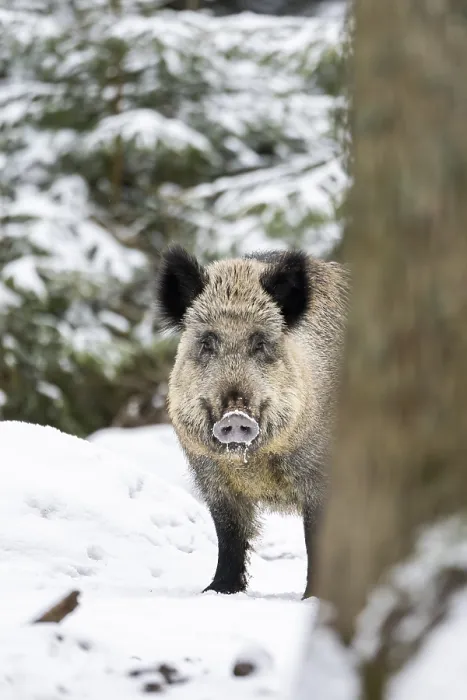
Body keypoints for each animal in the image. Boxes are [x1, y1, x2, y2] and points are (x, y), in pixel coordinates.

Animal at [156, 245, 348, 598]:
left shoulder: (320, 476)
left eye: (260, 343)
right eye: (207, 343)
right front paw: (217, 591)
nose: (235, 416)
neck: (254, 464)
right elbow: (229, 534)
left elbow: (316, 537)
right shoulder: (212, 479)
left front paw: (313, 598)